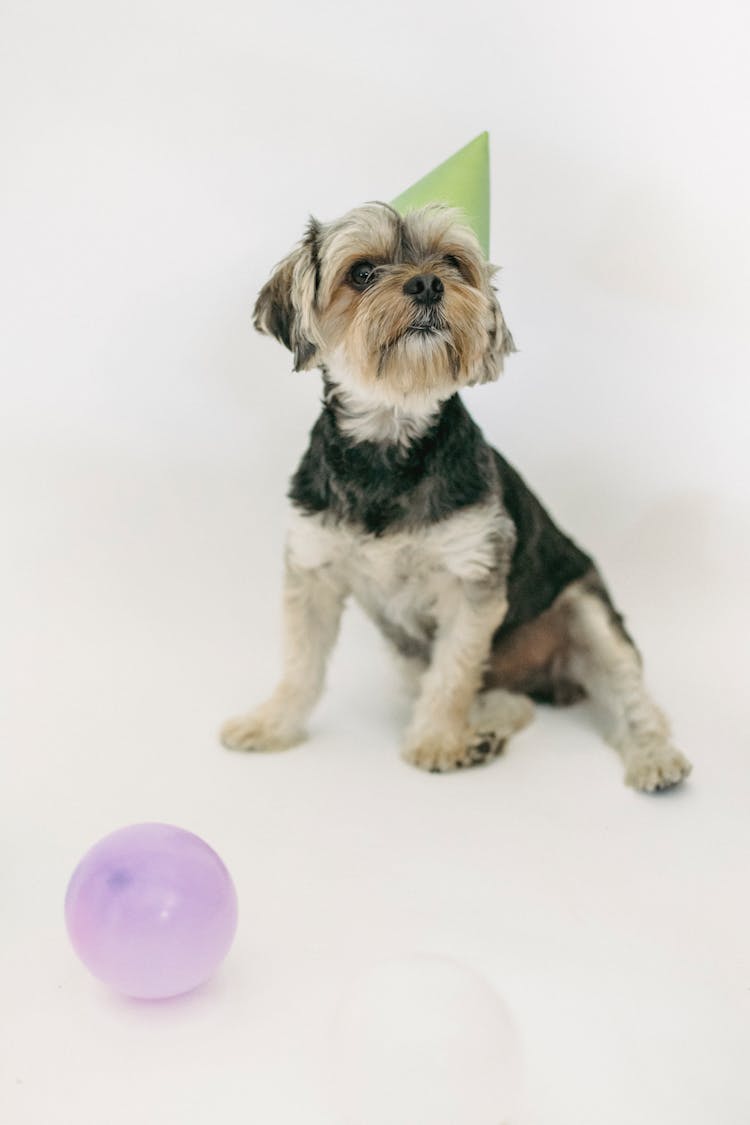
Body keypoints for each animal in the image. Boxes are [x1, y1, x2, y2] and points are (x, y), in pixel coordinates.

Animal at [220, 204, 697, 801]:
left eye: (452, 262)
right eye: (361, 273)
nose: (428, 283)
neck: (390, 445)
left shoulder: (472, 579)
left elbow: (453, 672)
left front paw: (436, 743)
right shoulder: (313, 569)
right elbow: (300, 663)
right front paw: (272, 724)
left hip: (586, 610)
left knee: (631, 698)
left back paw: (654, 757)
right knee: (505, 699)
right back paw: (489, 729)